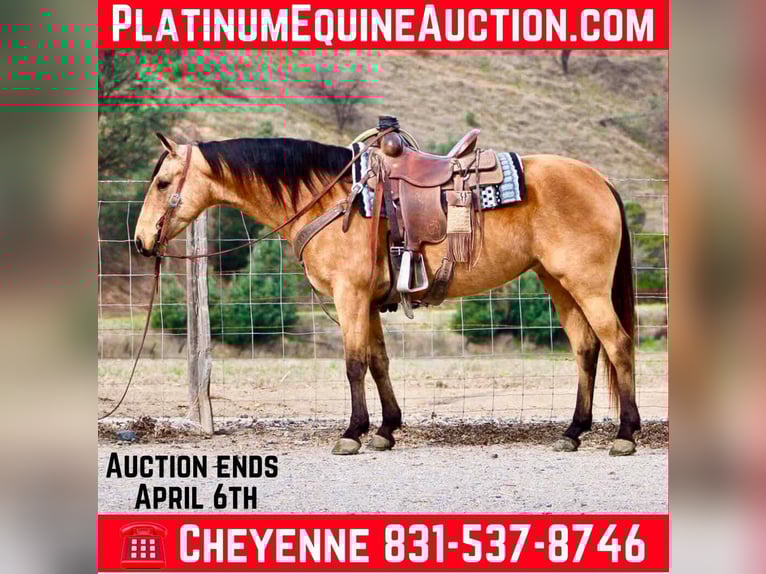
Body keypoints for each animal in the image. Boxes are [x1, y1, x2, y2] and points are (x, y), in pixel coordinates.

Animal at [134, 132, 640, 457]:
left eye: (162, 183)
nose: (140, 242)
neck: (331, 198)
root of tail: (600, 180)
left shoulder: (350, 295)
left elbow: (355, 364)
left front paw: (353, 433)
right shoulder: (370, 302)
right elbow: (379, 362)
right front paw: (386, 428)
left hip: (586, 285)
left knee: (617, 345)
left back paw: (626, 434)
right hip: (559, 283)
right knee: (586, 349)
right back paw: (573, 431)